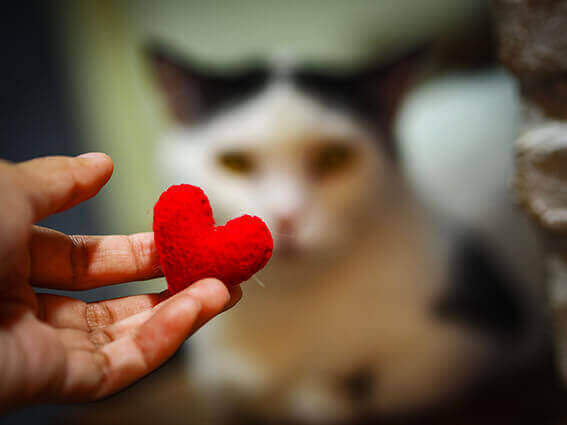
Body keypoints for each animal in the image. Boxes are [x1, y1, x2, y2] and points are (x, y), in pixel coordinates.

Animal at [146, 45, 545, 424]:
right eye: (234, 162)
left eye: (335, 158)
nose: (286, 216)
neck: (289, 308)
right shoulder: (218, 379)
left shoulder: (475, 337)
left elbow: (363, 384)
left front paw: (318, 396)